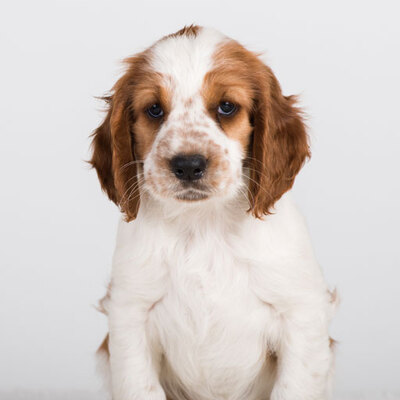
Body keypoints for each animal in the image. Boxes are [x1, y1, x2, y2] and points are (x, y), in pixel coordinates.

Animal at [91, 25, 337, 400]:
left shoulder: (301, 314)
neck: (203, 225)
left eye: (226, 107)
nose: (188, 165)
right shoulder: (130, 313)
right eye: (154, 110)